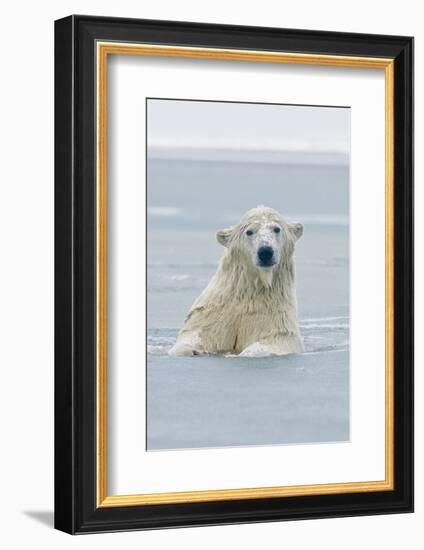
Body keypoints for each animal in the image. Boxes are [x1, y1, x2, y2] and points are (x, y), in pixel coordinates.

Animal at [167, 207, 304, 358]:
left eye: (276, 229)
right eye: (249, 231)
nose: (265, 251)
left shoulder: (275, 317)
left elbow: (275, 339)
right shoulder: (214, 313)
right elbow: (196, 334)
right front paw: (192, 350)